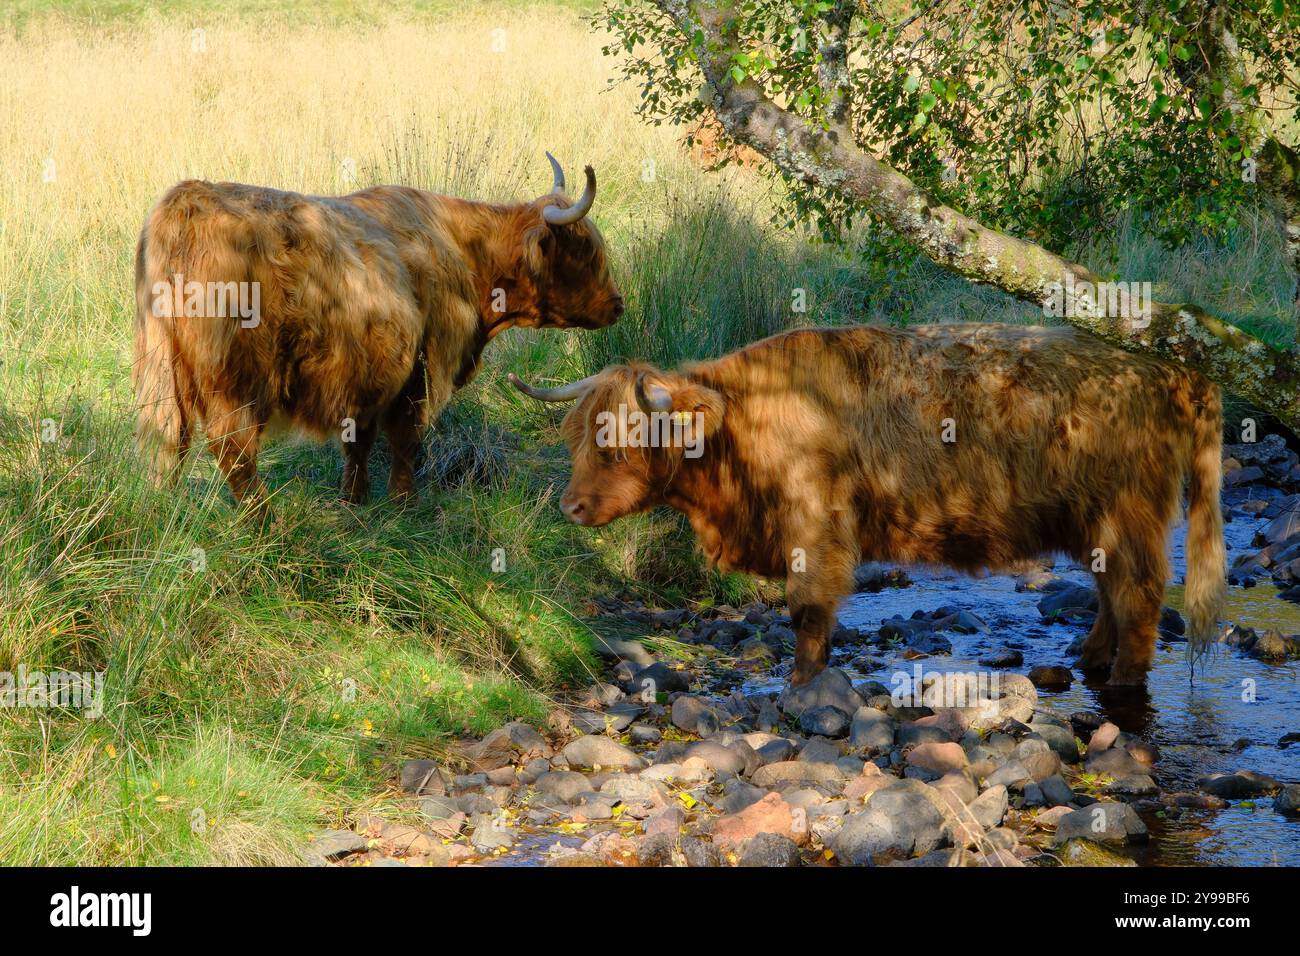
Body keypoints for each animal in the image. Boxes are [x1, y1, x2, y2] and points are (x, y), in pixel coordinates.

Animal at [133, 154, 623, 504]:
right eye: (584, 251)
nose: (618, 305)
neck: (465, 250)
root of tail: (187, 202)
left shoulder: (367, 376)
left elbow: (359, 443)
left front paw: (355, 500)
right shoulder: (421, 371)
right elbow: (406, 441)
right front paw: (403, 503)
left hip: (162, 372)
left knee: (166, 444)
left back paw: (162, 514)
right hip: (236, 382)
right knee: (233, 451)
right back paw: (264, 525)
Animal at [511, 323, 1227, 687]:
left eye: (618, 442)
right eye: (578, 436)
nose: (571, 507)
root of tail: (1174, 372)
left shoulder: (815, 528)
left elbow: (806, 610)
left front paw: (802, 686)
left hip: (1127, 514)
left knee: (1139, 598)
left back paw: (1122, 681)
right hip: (1097, 522)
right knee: (1112, 593)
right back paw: (1090, 658)